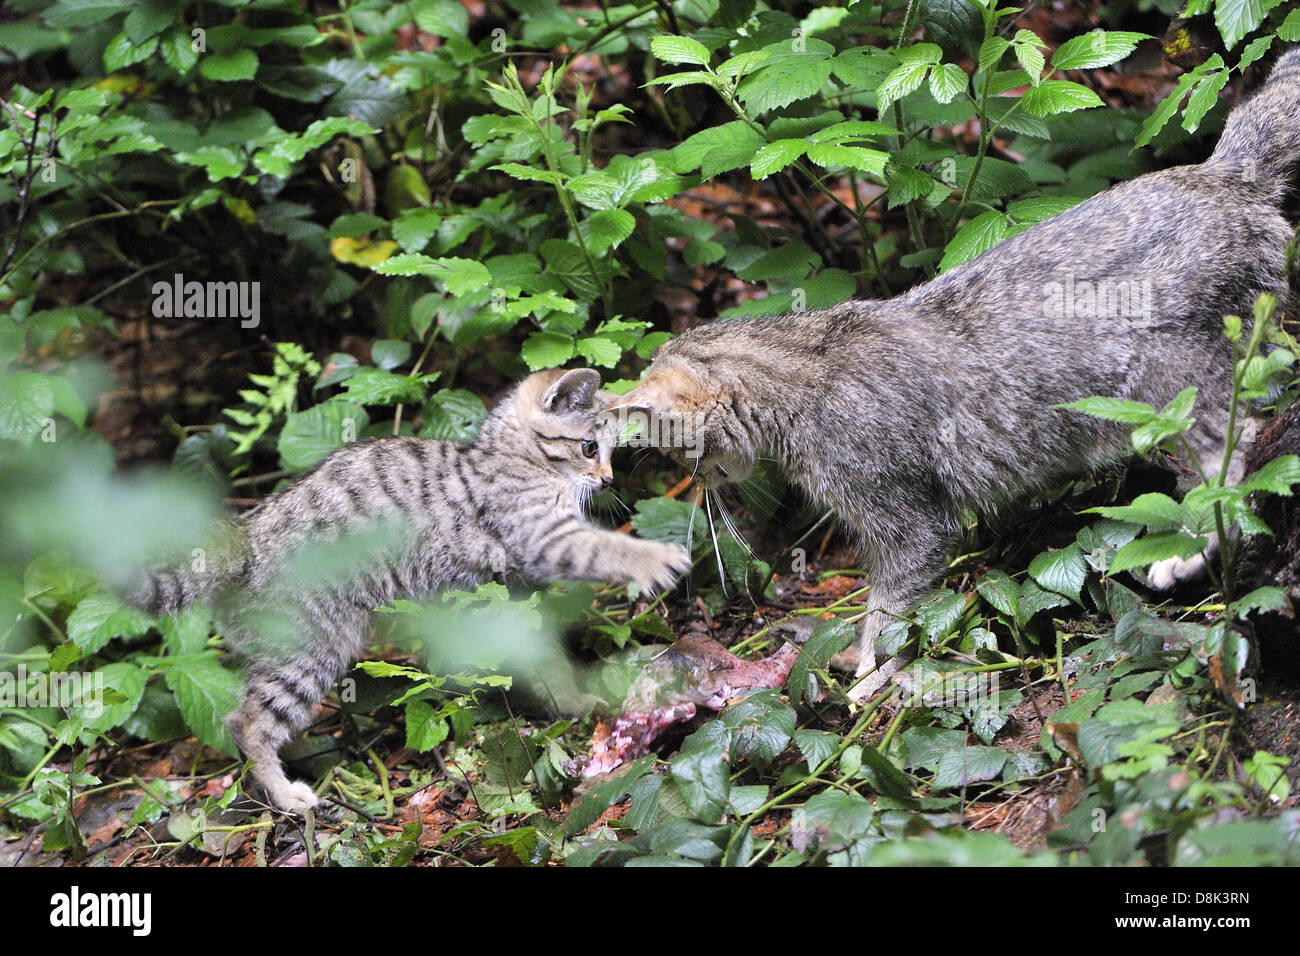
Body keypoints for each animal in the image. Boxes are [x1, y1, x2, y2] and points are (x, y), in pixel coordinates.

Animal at [128, 366, 691, 806]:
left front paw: (569, 699)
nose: (609, 480)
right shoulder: (542, 538)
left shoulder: (513, 600)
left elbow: (547, 658)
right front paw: (654, 557)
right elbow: (603, 548)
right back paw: (285, 793)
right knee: (245, 721)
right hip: (312, 650)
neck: (509, 458)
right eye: (590, 447)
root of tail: (245, 536)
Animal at [603, 46, 1300, 702]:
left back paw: (1185, 552)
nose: (699, 484)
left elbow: (888, 613)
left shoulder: (908, 525)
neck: (806, 364)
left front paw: (866, 677)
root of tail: (1222, 173)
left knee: (1236, 460)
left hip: (1166, 381)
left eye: (681, 453)